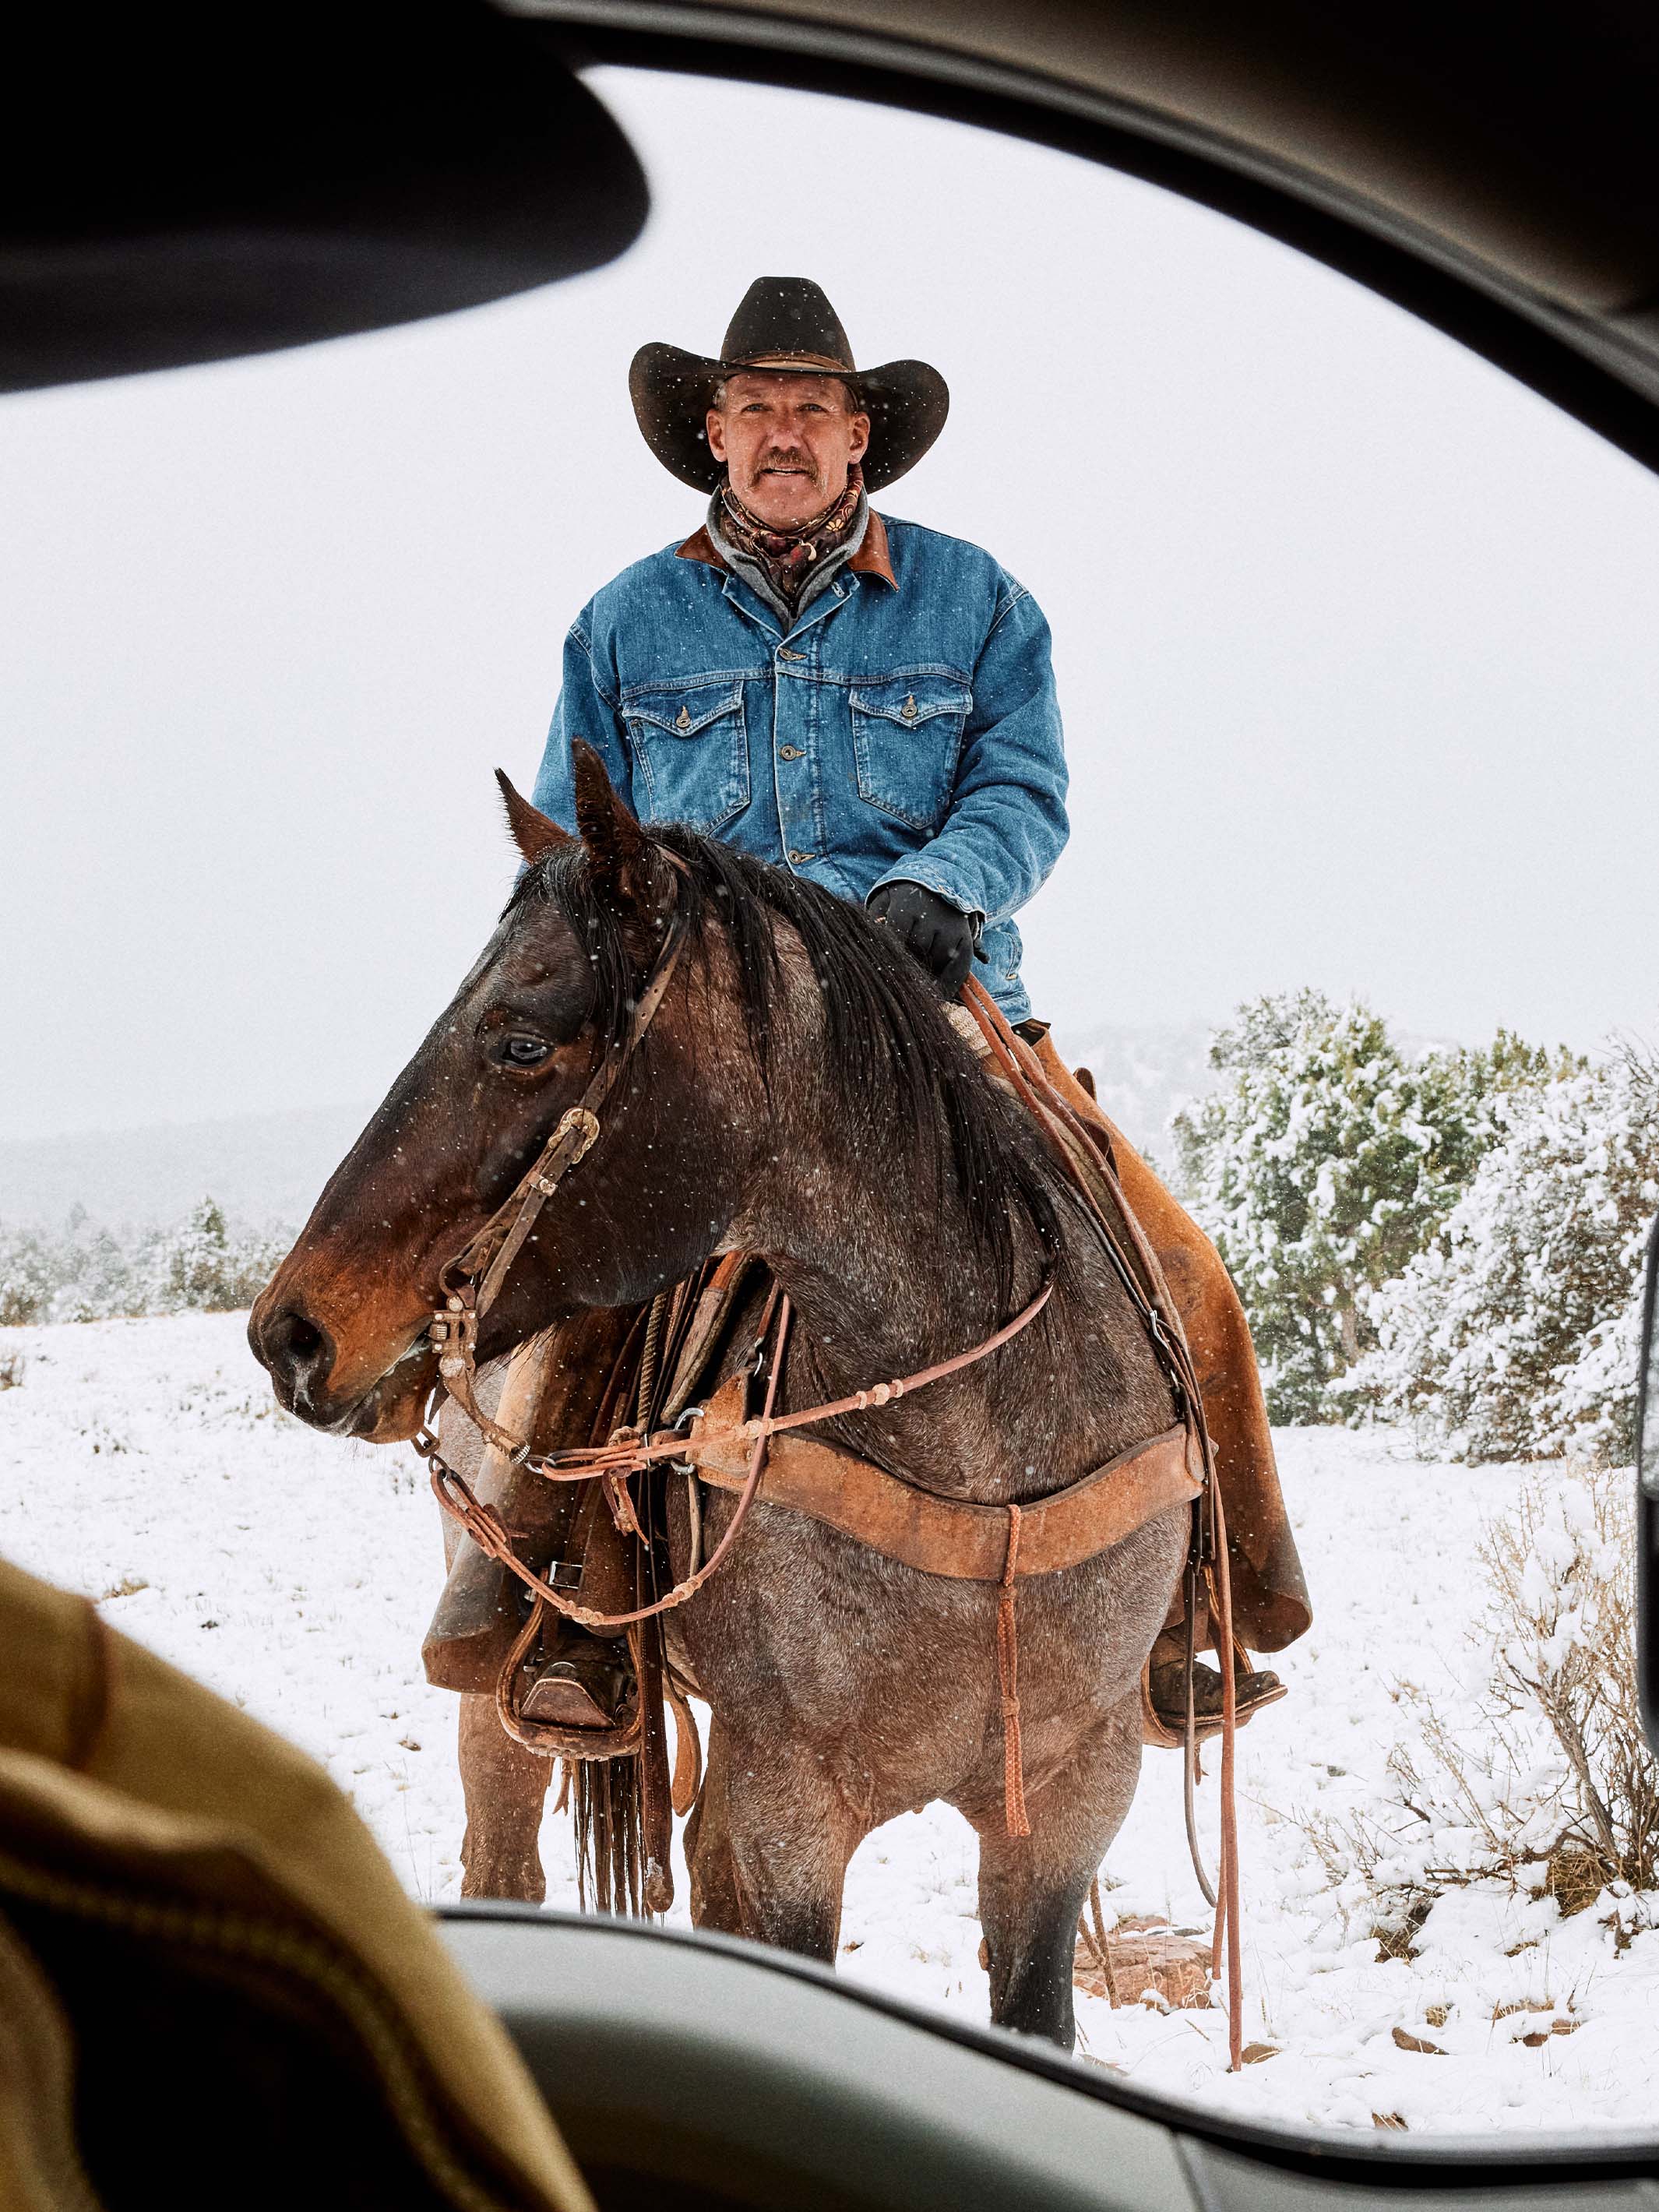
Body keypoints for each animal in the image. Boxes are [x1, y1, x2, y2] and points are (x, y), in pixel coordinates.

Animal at [249, 752, 1194, 2044]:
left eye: (519, 1043)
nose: (291, 1335)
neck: (974, 1446)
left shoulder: (1071, 1796)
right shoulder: (790, 1800)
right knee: (506, 1854)